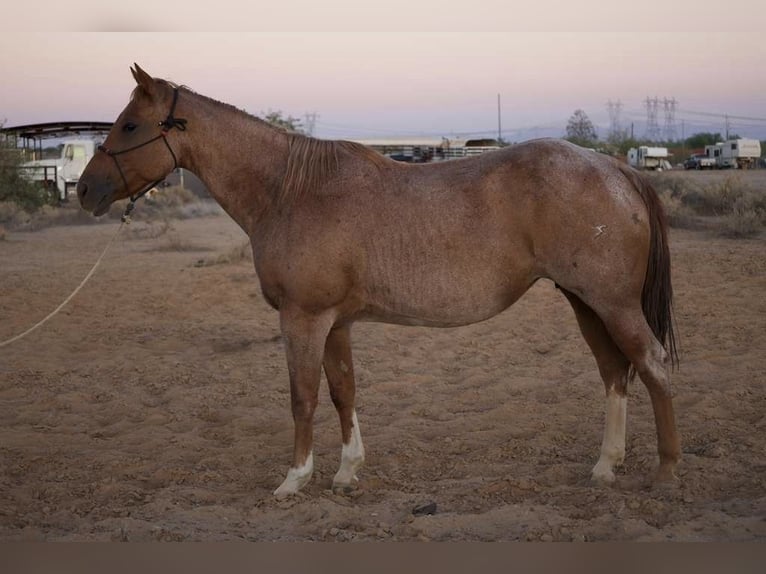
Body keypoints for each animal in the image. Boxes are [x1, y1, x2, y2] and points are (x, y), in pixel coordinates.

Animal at [77, 64, 680, 497]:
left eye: (129, 125)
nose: (84, 190)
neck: (290, 189)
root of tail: (614, 167)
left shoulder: (303, 319)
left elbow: (302, 396)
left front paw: (294, 480)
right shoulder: (335, 323)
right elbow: (343, 391)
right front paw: (347, 473)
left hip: (613, 303)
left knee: (651, 364)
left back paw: (666, 472)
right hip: (585, 301)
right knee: (614, 371)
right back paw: (605, 467)